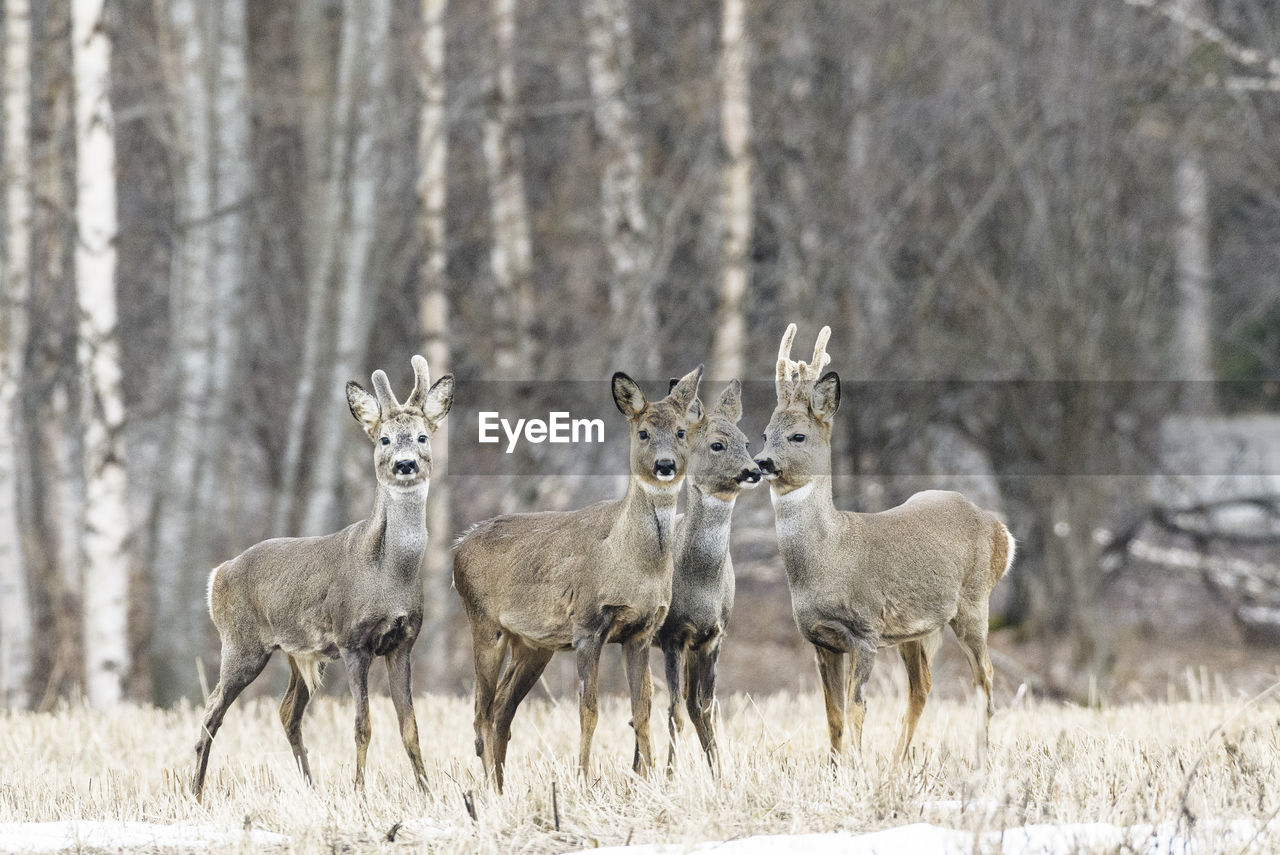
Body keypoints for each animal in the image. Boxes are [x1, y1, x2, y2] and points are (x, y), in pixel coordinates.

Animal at [186, 353, 453, 803]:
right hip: (241, 643)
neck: (389, 575)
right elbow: (363, 725)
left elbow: (410, 727)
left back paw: (309, 788)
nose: (405, 464)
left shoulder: (403, 642)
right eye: (384, 439)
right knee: (212, 709)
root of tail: (217, 574)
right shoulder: (352, 640)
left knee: (286, 712)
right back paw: (195, 793)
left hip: (299, 653)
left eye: (421, 437)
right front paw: (359, 793)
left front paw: (429, 793)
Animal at [455, 363, 706, 793]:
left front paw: (648, 781)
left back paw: (502, 787)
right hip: (485, 624)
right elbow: (589, 711)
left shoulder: (641, 631)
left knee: (502, 708)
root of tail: (457, 548)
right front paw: (583, 782)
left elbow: (642, 709)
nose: (665, 465)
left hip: (533, 644)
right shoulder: (589, 624)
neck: (634, 564)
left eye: (680, 431)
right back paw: (490, 789)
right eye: (643, 432)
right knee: (482, 712)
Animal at [752, 327, 1013, 762]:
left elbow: (857, 708)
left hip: (974, 602)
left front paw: (855, 767)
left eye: (798, 435)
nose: (761, 462)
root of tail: (1000, 530)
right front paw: (836, 768)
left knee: (985, 677)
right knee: (922, 685)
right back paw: (897, 765)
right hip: (916, 627)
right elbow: (833, 714)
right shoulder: (821, 640)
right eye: (764, 434)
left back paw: (980, 758)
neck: (830, 556)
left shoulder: (865, 630)